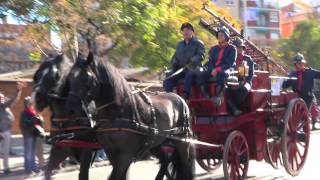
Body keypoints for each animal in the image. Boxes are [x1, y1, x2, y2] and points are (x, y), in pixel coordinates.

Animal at [65, 52, 195, 180]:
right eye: (70, 77)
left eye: (86, 77)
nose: (70, 108)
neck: (117, 113)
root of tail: (179, 98)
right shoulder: (111, 152)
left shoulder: (125, 154)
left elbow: (115, 176)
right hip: (155, 143)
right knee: (165, 160)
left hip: (183, 141)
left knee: (185, 165)